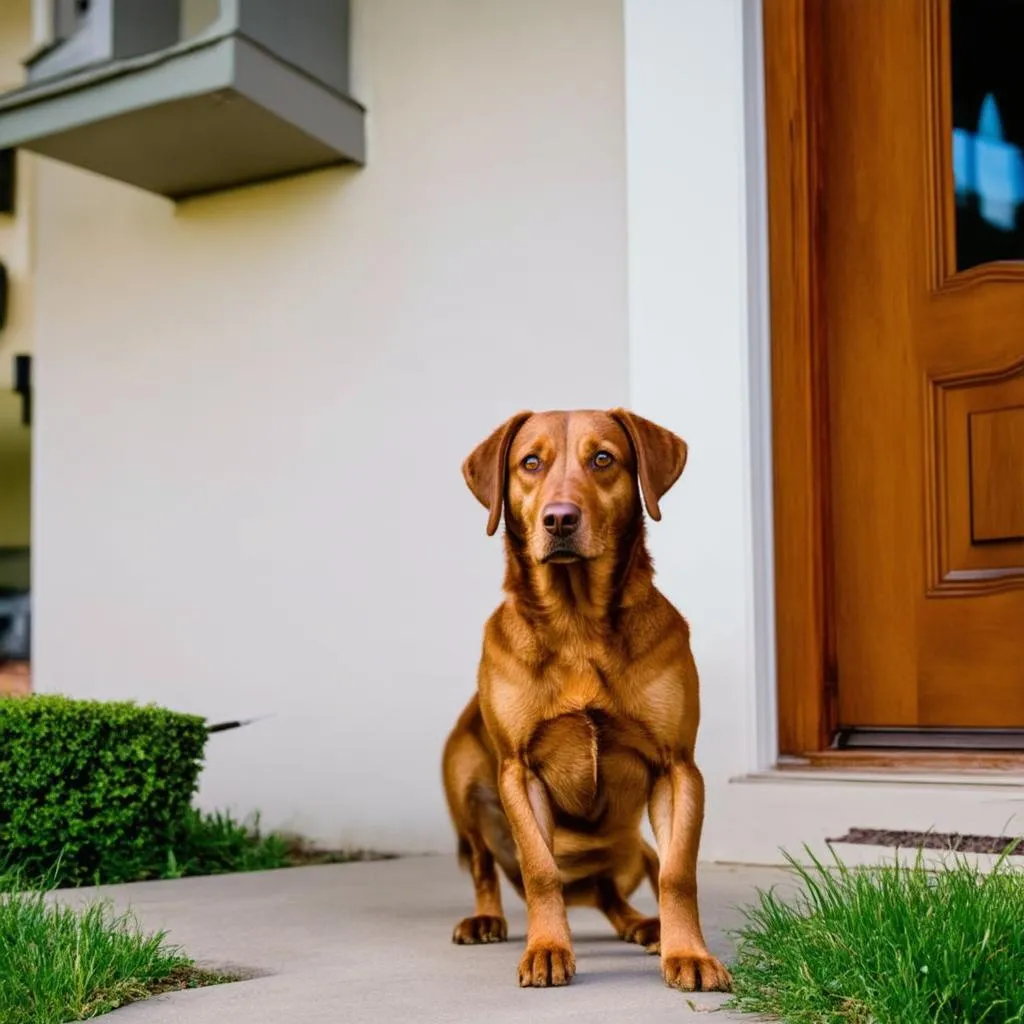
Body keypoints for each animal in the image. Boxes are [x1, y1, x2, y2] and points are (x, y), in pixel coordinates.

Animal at [444, 407, 733, 991]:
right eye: (530, 463)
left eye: (603, 459)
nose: (559, 519)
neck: (576, 622)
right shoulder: (519, 771)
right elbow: (540, 869)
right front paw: (547, 948)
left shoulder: (678, 768)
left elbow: (677, 873)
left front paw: (688, 953)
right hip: (461, 779)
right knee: (486, 864)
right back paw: (486, 918)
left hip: (625, 844)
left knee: (623, 882)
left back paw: (646, 926)